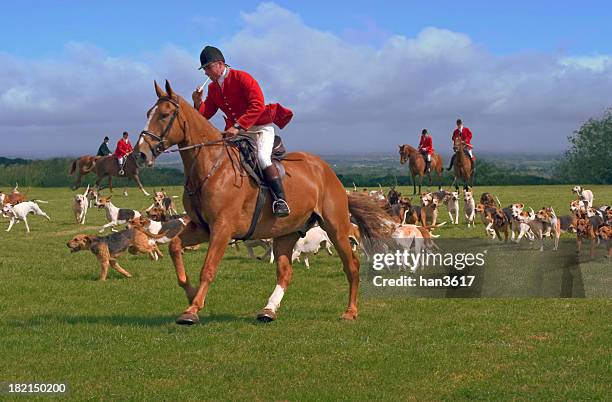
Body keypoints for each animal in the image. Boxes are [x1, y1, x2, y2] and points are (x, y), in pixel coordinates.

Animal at [135, 80, 392, 326]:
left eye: (164, 115)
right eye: (148, 113)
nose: (140, 154)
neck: (210, 167)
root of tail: (326, 170)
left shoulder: (222, 228)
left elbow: (208, 269)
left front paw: (192, 310)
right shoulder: (202, 228)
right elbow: (174, 247)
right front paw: (190, 294)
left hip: (335, 228)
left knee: (351, 265)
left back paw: (350, 311)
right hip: (286, 232)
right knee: (285, 272)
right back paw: (269, 310)